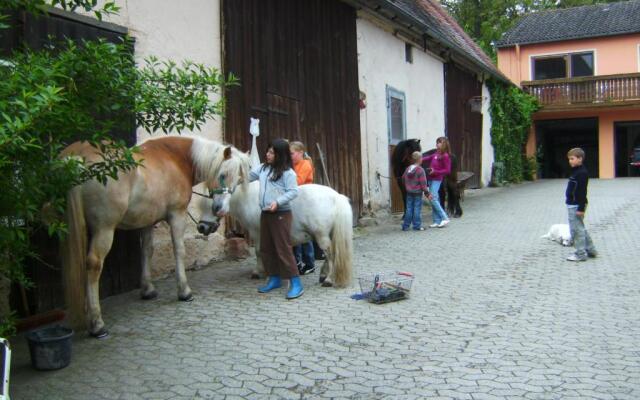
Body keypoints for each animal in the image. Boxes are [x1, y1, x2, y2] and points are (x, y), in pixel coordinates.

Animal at [60, 135, 250, 338]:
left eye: (238, 179)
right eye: (222, 174)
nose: (220, 209)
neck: (176, 158)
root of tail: (76, 157)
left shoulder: (147, 221)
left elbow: (147, 251)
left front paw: (148, 289)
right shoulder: (177, 215)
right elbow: (179, 250)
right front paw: (184, 292)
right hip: (104, 229)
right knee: (94, 265)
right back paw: (97, 324)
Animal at [198, 181, 352, 288]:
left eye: (212, 207)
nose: (201, 227)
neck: (248, 199)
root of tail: (336, 196)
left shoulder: (257, 233)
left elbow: (260, 252)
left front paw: (259, 272)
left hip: (321, 236)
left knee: (331, 255)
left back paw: (328, 280)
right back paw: (323, 275)